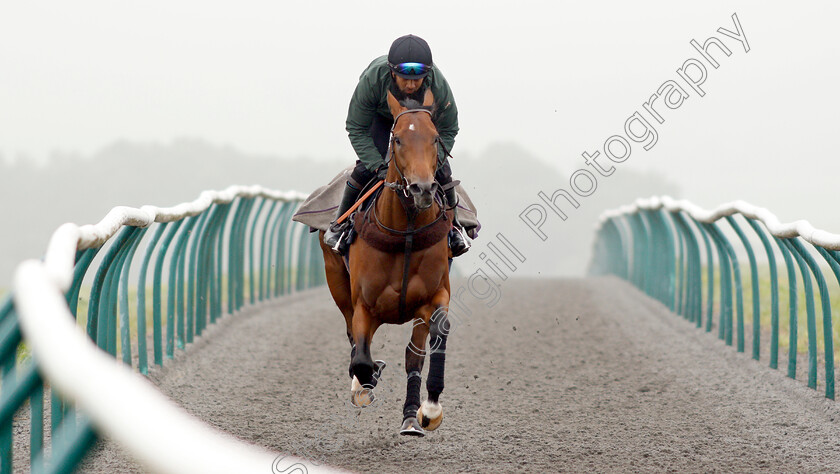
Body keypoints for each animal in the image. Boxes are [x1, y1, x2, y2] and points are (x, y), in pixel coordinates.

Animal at [320, 89, 452, 436]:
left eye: (435, 138)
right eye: (398, 140)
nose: (422, 188)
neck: (404, 232)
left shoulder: (434, 296)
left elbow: (434, 336)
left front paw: (428, 409)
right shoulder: (364, 305)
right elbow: (361, 358)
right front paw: (365, 382)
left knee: (413, 355)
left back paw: (410, 417)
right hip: (337, 283)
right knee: (353, 339)